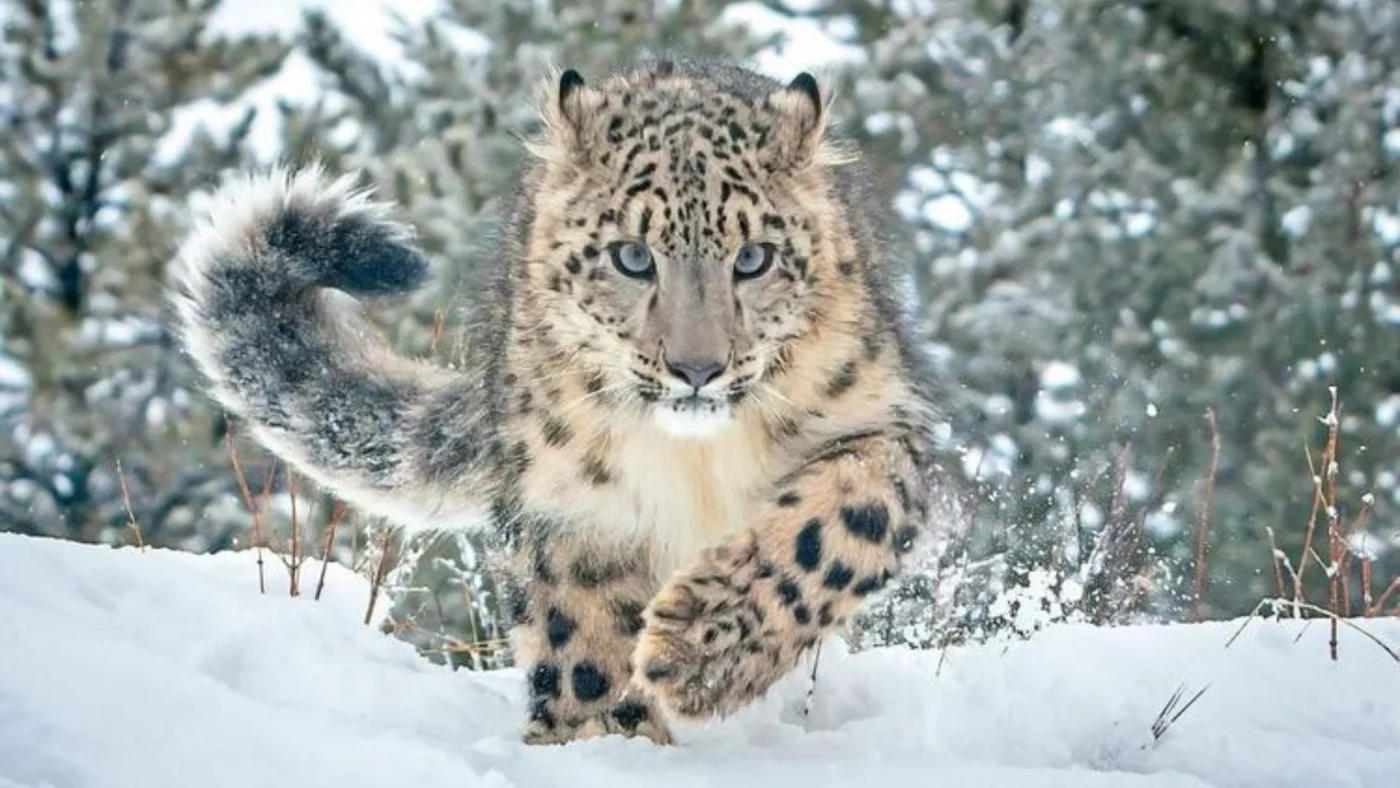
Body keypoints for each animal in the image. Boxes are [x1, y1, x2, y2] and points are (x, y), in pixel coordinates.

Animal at [168, 56, 945, 746]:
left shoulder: (877, 422)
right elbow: (583, 626)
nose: (697, 368)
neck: (694, 458)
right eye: (632, 256)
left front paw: (695, 654)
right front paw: (604, 736)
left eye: (753, 258)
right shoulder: (573, 495)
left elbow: (833, 527)